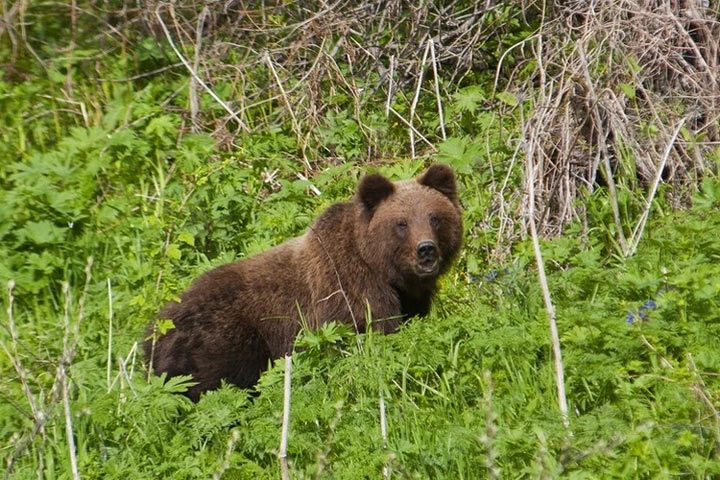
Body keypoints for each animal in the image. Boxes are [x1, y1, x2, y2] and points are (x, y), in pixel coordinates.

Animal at [143, 163, 464, 400]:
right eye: (401, 223)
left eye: (435, 217)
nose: (426, 250)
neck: (383, 271)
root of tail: (154, 331)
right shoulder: (347, 293)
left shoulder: (410, 300)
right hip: (220, 340)